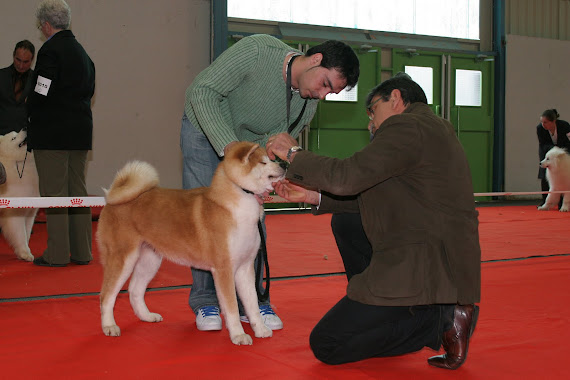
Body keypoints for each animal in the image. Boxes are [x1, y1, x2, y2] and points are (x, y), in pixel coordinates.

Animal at [0, 131, 39, 262]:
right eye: (13, 138)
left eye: (16, 133)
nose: (25, 128)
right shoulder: (14, 213)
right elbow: (20, 234)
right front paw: (25, 253)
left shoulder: (29, 212)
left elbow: (26, 232)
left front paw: (22, 252)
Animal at [97, 141, 286, 346]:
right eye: (263, 162)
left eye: (271, 158)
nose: (284, 165)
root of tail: (111, 200)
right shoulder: (224, 269)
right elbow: (232, 307)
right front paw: (238, 335)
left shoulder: (245, 268)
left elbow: (252, 304)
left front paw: (260, 329)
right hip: (123, 258)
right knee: (106, 296)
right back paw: (109, 326)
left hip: (150, 260)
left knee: (135, 290)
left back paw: (147, 316)